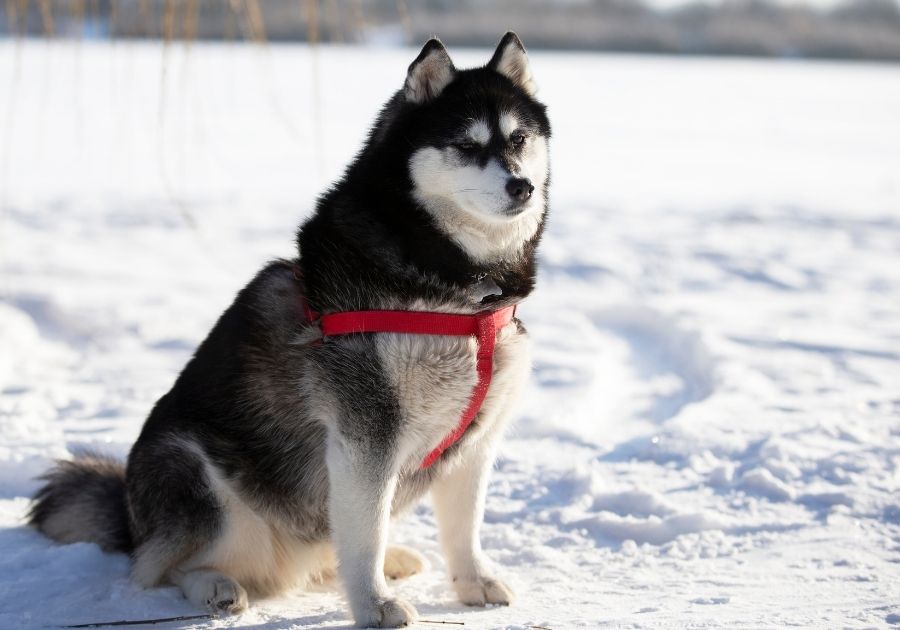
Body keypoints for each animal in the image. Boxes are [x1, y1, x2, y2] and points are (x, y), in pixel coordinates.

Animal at [29, 34, 548, 630]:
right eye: (466, 145)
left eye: (519, 139)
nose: (521, 186)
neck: (460, 292)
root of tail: (132, 519)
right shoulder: (364, 433)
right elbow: (363, 533)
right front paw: (373, 606)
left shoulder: (478, 438)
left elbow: (463, 525)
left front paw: (472, 581)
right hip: (193, 473)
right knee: (160, 568)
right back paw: (214, 585)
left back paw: (392, 558)